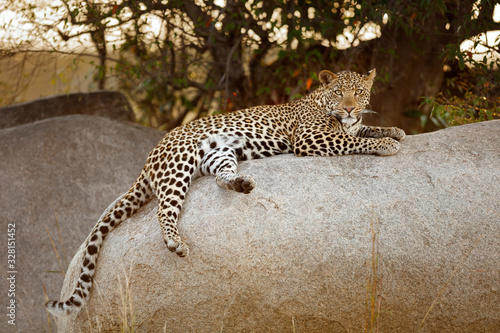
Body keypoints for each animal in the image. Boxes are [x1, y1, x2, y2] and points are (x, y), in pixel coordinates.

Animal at [46, 67, 406, 316]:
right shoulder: (311, 139)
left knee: (220, 180)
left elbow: (365, 129)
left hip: (220, 154)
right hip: (179, 164)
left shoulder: (350, 126)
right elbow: (352, 139)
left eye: (359, 92)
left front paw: (394, 130)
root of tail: (151, 154)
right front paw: (387, 144)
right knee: (165, 209)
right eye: (339, 93)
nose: (349, 108)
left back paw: (242, 183)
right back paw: (175, 241)